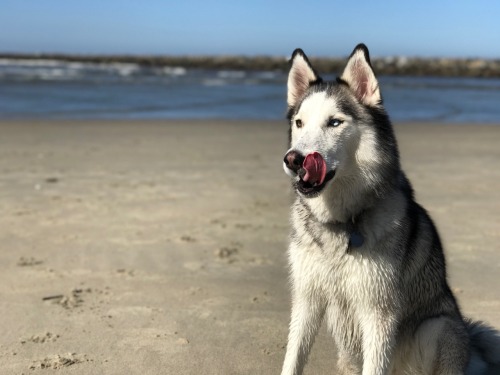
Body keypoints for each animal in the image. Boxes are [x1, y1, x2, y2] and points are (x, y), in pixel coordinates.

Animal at [282, 44, 500, 375]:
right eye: (299, 123)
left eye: (335, 122)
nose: (294, 159)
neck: (344, 221)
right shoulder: (307, 298)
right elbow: (292, 359)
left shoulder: (378, 312)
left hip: (439, 326)